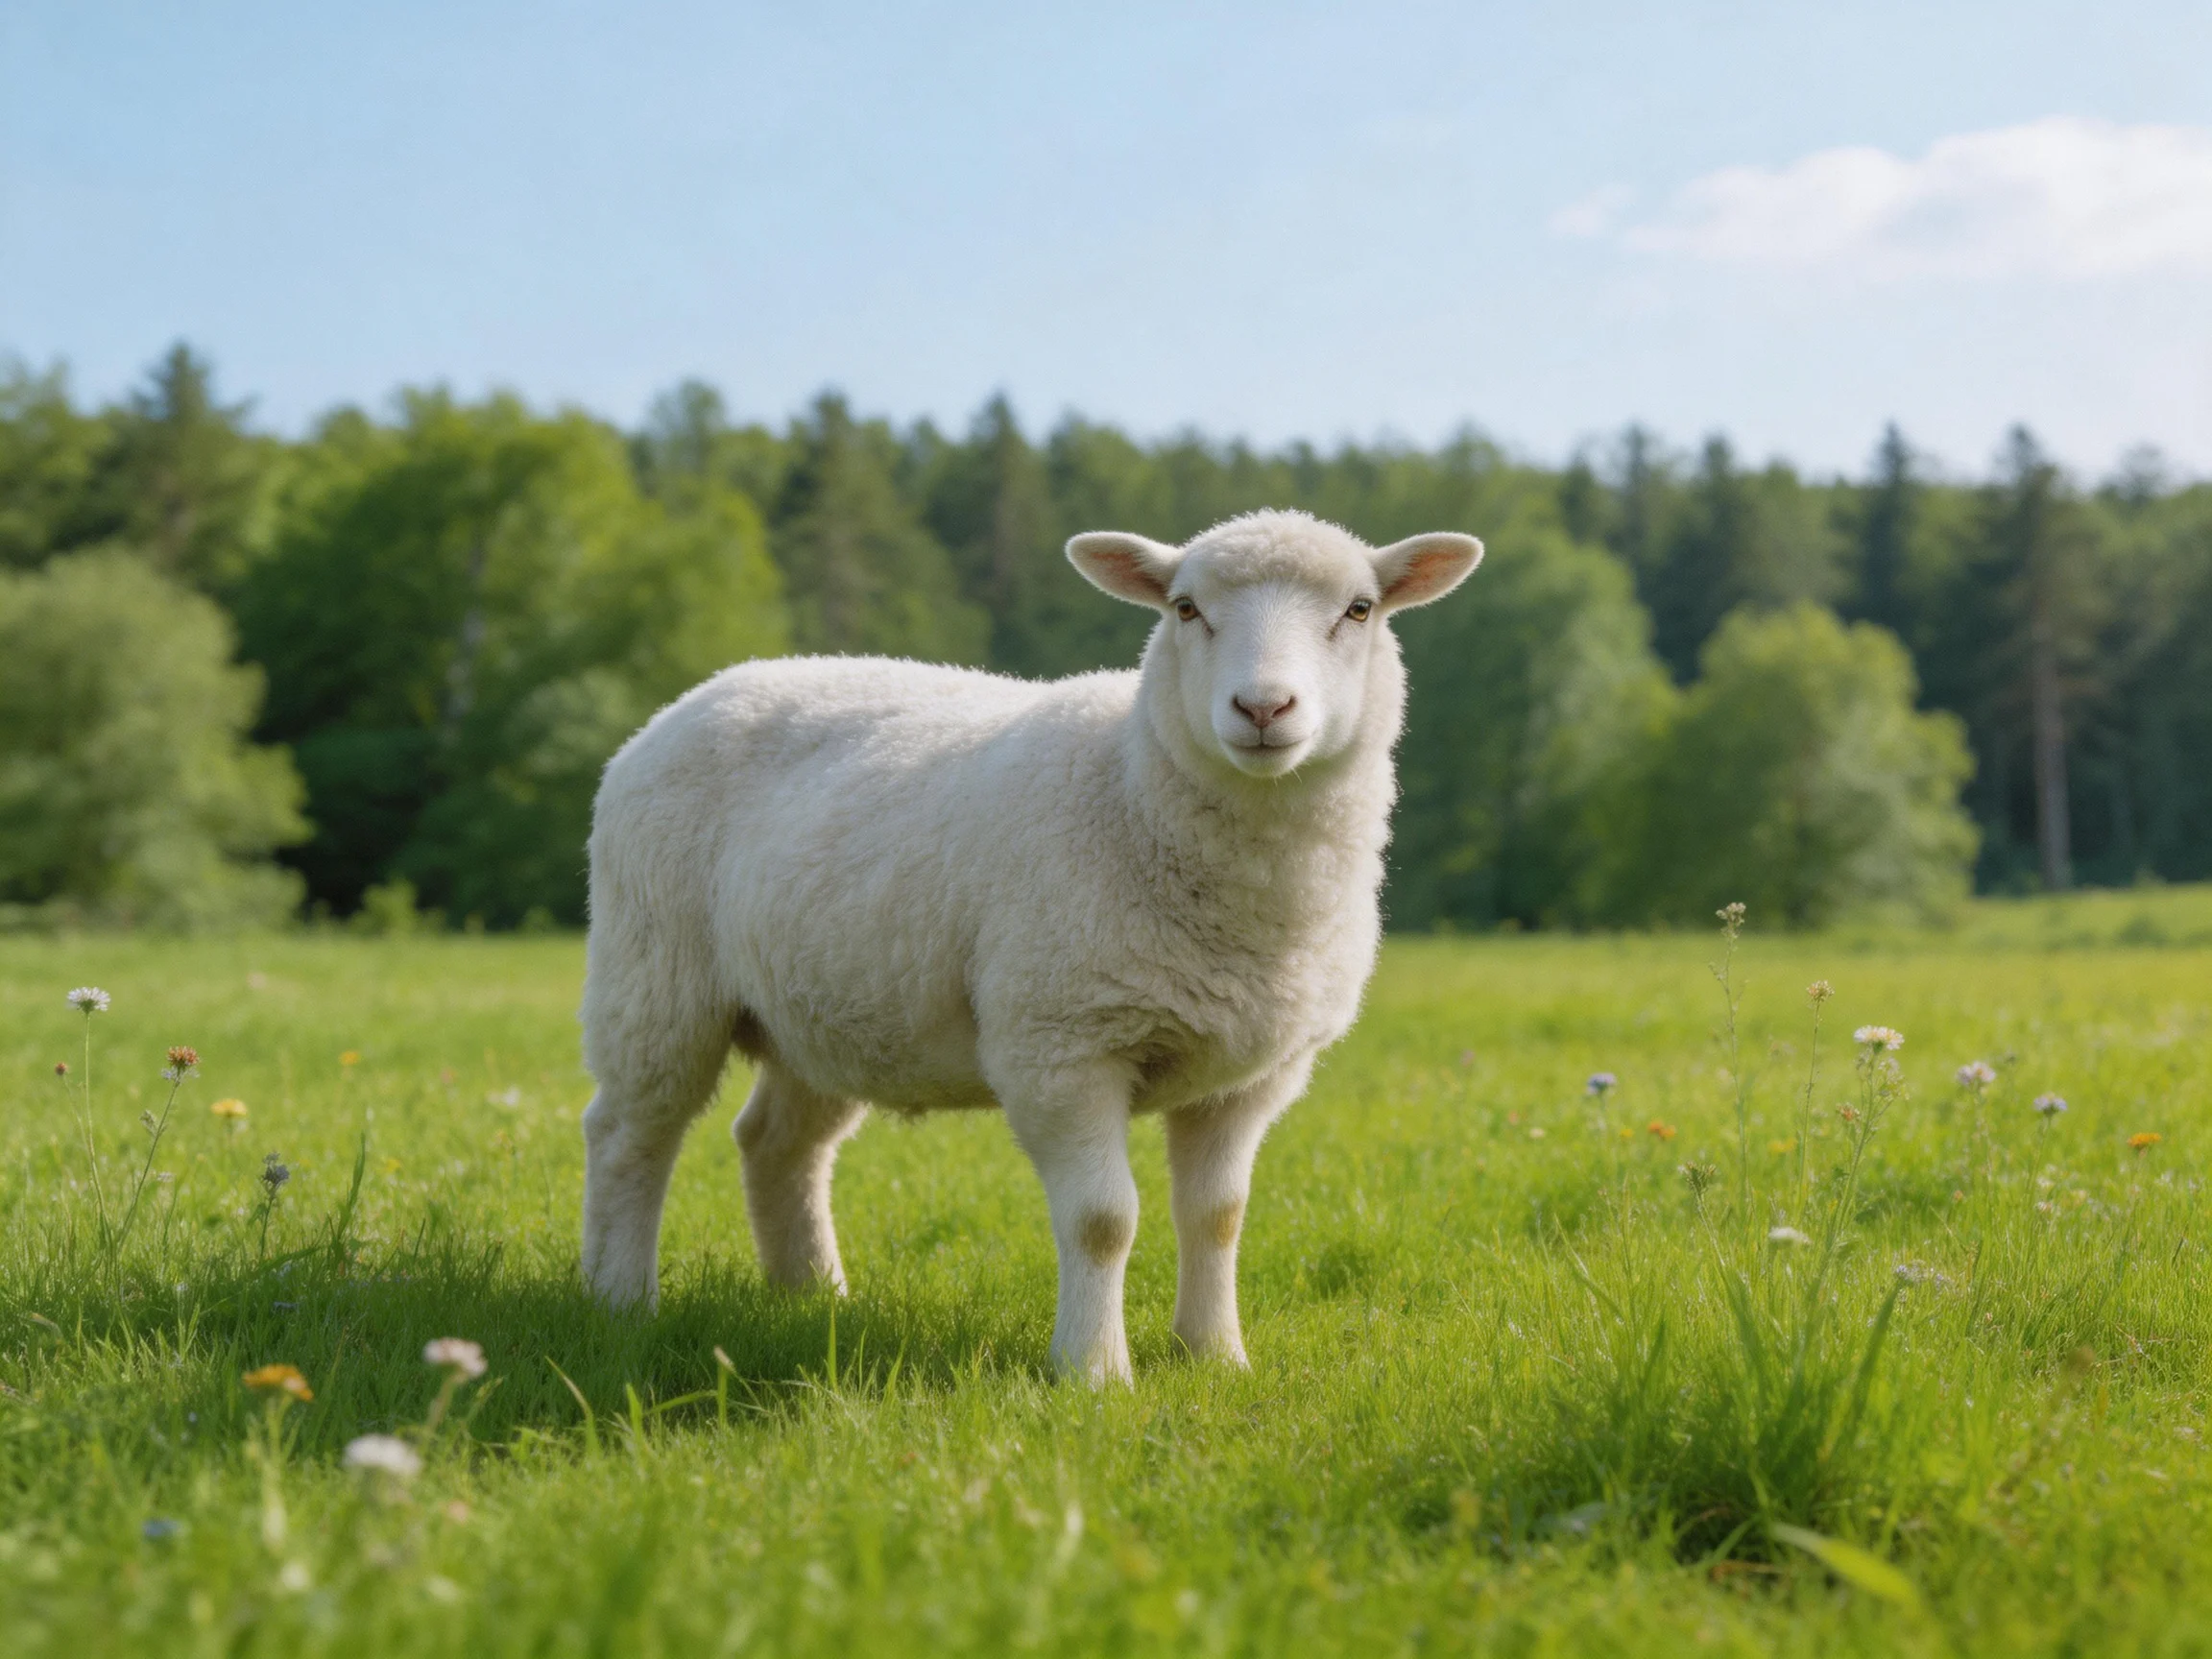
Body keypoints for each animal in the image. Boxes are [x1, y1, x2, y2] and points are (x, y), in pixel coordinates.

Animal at [578, 509, 1482, 1380]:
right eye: (1185, 609)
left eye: (1359, 609)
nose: (1263, 710)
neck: (1130, 787)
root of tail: (699, 695)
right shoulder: (1061, 1044)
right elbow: (1102, 1221)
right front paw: (1094, 1373)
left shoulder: (1250, 1075)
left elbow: (1217, 1217)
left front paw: (1216, 1357)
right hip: (654, 973)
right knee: (628, 1133)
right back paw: (620, 1300)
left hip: (825, 1005)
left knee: (777, 1143)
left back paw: (813, 1296)